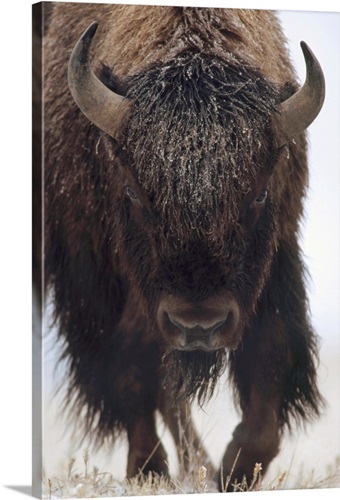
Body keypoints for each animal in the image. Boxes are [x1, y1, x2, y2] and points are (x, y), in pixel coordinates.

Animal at [41, 1, 326, 490]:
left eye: (258, 194)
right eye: (133, 192)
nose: (198, 325)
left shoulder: (277, 259)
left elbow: (271, 357)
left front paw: (234, 470)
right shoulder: (90, 275)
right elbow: (129, 371)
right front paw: (148, 470)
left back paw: (202, 467)